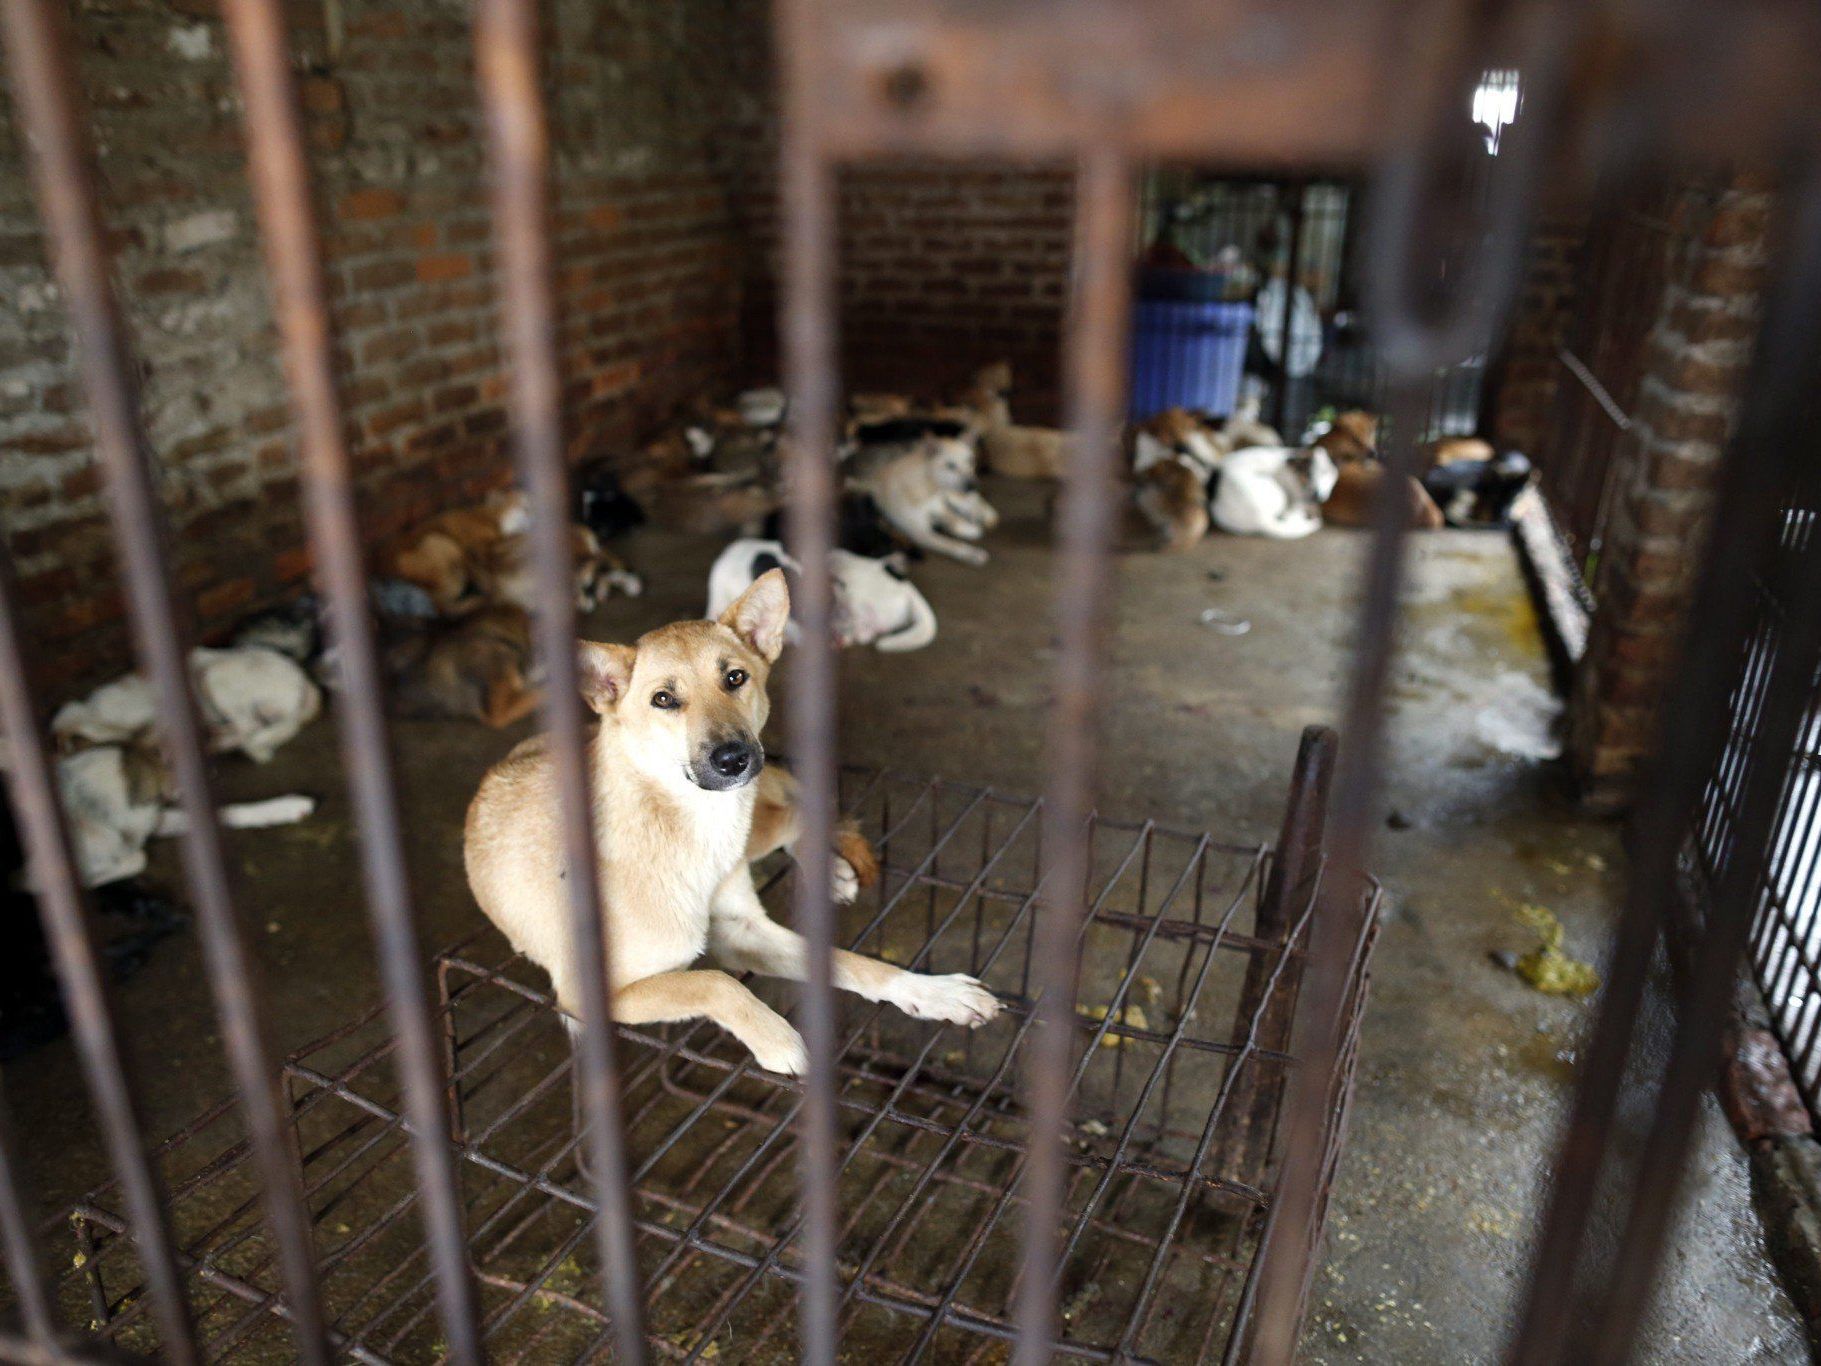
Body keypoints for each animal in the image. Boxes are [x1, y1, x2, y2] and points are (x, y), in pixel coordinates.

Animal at [455, 571, 997, 1078]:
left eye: (735, 678)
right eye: (663, 700)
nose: (734, 759)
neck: (687, 827)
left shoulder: (744, 927)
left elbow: (847, 960)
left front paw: (931, 991)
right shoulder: (588, 994)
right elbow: (712, 980)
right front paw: (778, 1038)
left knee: (799, 810)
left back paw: (831, 869)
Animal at [1209, 444, 1340, 539]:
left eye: (1327, 474)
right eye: (1308, 474)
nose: (1318, 496)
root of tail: (1260, 519)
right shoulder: (1295, 498)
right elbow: (1295, 509)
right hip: (1279, 491)